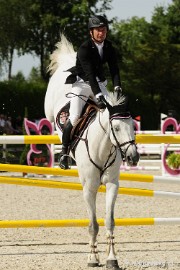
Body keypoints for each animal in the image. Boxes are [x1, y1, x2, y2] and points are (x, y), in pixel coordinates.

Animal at [44, 34, 139, 268]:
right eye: (116, 128)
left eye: (133, 125)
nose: (133, 157)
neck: (103, 147)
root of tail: (69, 60)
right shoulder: (89, 187)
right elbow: (93, 224)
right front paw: (93, 258)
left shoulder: (112, 184)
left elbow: (109, 221)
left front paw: (112, 258)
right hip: (54, 107)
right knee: (59, 119)